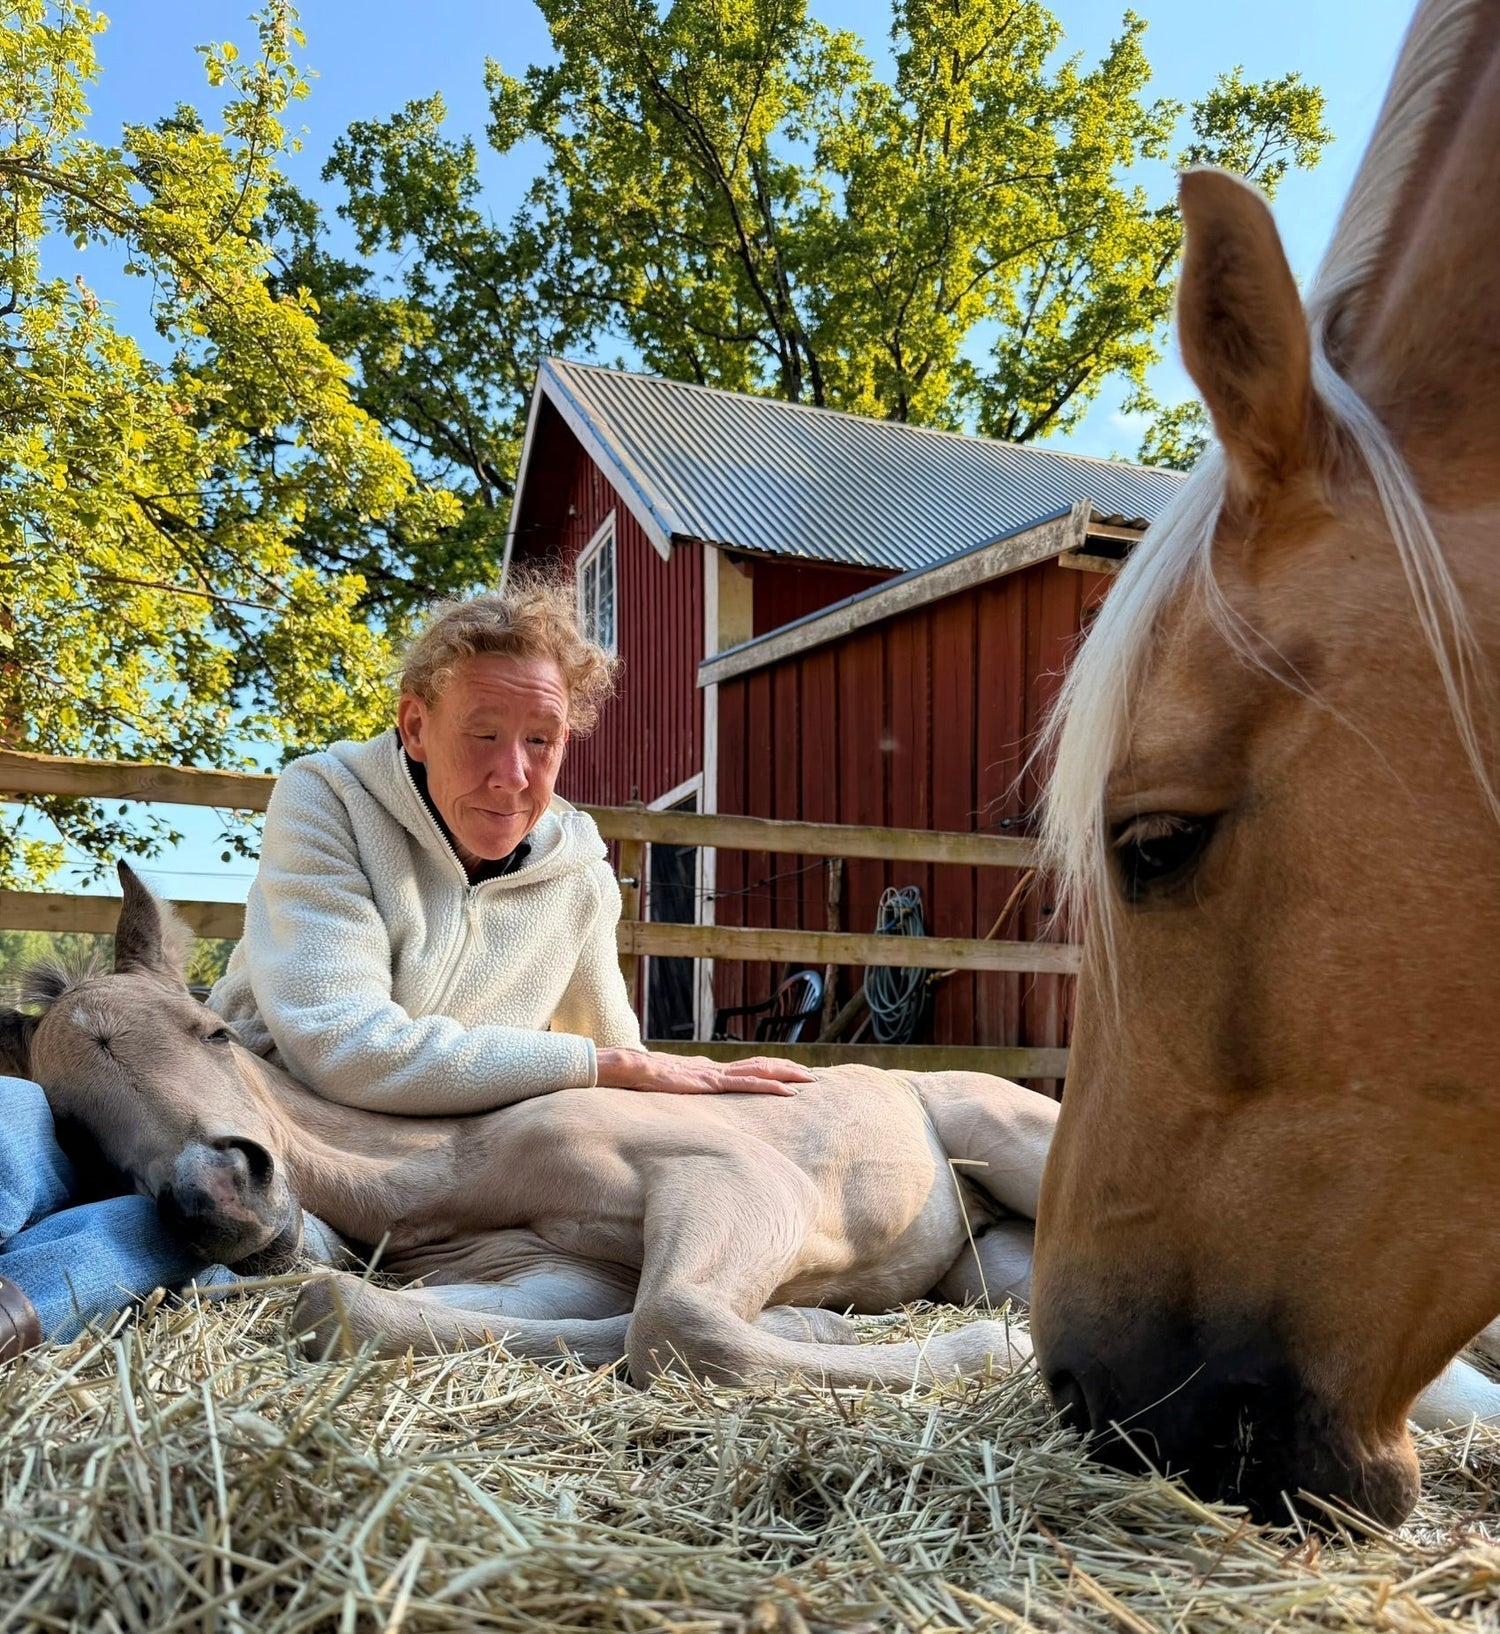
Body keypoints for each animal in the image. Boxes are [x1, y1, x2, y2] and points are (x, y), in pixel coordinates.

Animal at [0, 864, 1054, 1386]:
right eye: (79, 1130)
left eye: (212, 1033)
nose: (222, 1198)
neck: (445, 1168)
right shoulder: (556, 1273)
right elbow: (344, 1307)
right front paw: (815, 1319)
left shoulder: (738, 1179)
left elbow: (674, 1326)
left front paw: (991, 1353)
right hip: (992, 1258)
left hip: (1016, 1146)